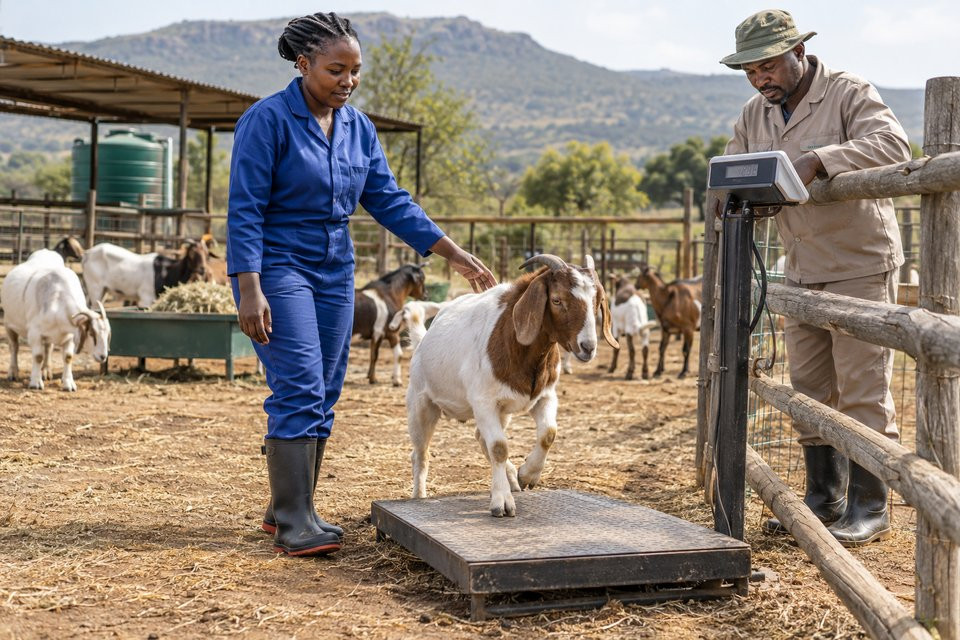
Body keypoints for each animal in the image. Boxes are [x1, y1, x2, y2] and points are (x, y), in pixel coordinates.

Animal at [2, 249, 111, 391]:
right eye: (92, 333)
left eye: (108, 334)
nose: (103, 356)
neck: (58, 301)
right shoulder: (35, 333)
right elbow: (38, 356)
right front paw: (35, 383)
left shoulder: (70, 335)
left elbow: (68, 357)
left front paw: (69, 384)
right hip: (8, 323)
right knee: (14, 347)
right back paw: (13, 373)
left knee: (48, 348)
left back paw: (46, 372)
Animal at [406, 254, 617, 517]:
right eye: (557, 300)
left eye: (597, 301)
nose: (588, 347)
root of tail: (423, 340)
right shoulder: (484, 402)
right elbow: (499, 447)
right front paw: (502, 502)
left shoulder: (545, 396)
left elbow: (548, 434)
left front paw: (527, 475)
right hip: (421, 404)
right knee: (421, 452)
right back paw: (419, 496)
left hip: (503, 412)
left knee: (480, 438)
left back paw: (512, 478)